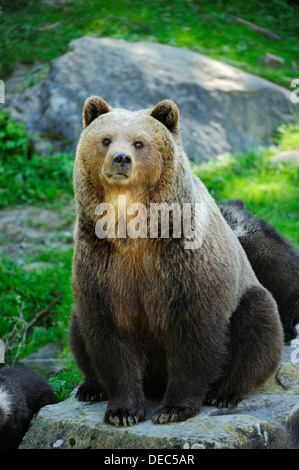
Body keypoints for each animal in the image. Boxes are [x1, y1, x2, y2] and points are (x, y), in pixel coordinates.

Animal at [69, 96, 284, 426]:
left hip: (249, 295)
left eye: (139, 142)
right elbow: (109, 336)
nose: (121, 159)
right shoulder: (101, 261)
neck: (134, 231)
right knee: (78, 330)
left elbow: (195, 334)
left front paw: (173, 409)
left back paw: (225, 393)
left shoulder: (184, 261)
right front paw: (122, 411)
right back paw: (91, 388)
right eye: (105, 139)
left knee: (258, 326)